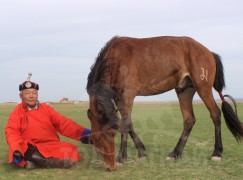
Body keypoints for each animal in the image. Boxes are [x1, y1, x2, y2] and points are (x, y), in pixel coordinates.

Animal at [86, 35, 242, 171]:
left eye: (109, 135)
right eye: (95, 138)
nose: (110, 166)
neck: (116, 59)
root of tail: (208, 52)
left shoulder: (127, 96)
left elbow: (125, 124)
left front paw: (121, 158)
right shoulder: (119, 98)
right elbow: (128, 124)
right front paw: (141, 152)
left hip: (203, 87)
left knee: (215, 114)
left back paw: (216, 153)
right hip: (184, 90)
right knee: (189, 120)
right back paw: (175, 153)